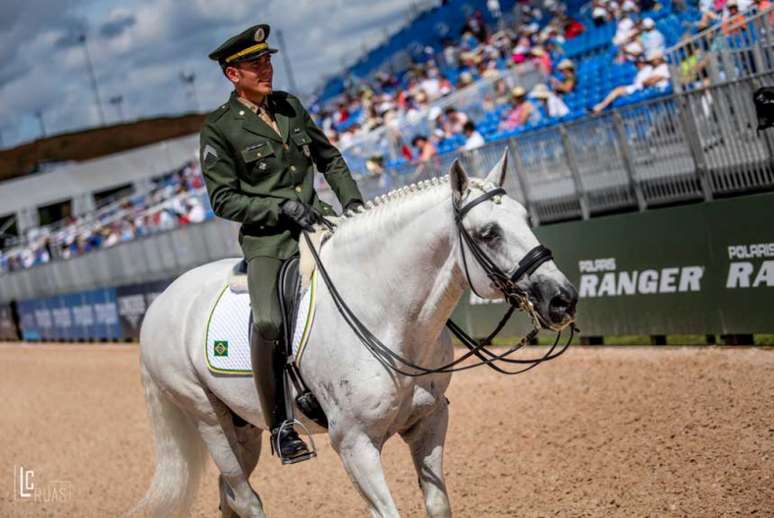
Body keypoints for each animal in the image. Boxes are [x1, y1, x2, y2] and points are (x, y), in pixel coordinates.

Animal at [133, 155, 580, 518]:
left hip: (243, 428)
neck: (382, 312)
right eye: (489, 233)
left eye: (526, 219)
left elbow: (438, 505)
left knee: (229, 496)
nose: (563, 299)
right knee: (246, 498)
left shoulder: (430, 421)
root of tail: (159, 305)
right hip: (208, 419)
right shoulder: (355, 445)